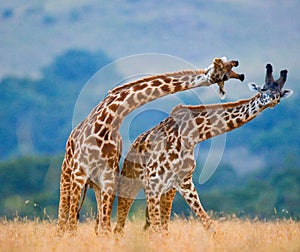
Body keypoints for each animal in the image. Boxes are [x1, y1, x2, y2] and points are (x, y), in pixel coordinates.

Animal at [56, 56, 244, 235]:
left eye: (231, 68)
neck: (110, 119)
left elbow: (104, 227)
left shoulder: (108, 176)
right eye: (224, 71)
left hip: (95, 184)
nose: (241, 75)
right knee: (63, 220)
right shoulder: (79, 173)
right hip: (67, 174)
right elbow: (72, 225)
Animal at [115, 64, 292, 233]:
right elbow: (157, 229)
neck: (191, 136)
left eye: (280, 94)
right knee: (120, 226)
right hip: (131, 182)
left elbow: (208, 224)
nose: (273, 100)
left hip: (166, 190)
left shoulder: (184, 182)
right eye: (263, 89)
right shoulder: (153, 181)